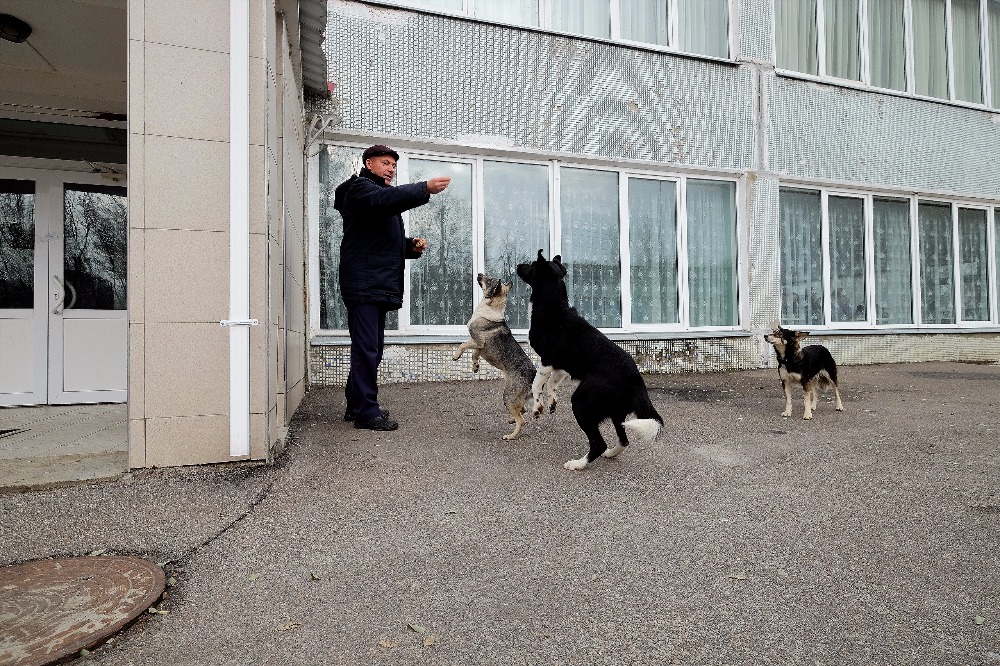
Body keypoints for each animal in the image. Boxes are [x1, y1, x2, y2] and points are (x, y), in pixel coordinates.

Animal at [456, 272, 544, 438]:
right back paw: (511, 420)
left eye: (489, 280)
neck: (491, 308)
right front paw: (475, 367)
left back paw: (510, 436)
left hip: (507, 396)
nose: (479, 274)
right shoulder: (480, 347)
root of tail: (532, 374)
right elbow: (474, 355)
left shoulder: (477, 341)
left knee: (522, 420)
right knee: (522, 410)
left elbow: (463, 345)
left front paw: (456, 356)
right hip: (514, 397)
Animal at [516, 246, 664, 470]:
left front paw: (537, 407)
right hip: (615, 412)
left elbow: (536, 385)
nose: (517, 265)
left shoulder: (547, 360)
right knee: (623, 440)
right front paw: (551, 402)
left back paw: (578, 464)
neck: (554, 306)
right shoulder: (560, 366)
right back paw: (611, 454)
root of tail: (636, 379)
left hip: (581, 403)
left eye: (531, 265)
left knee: (599, 443)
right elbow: (551, 384)